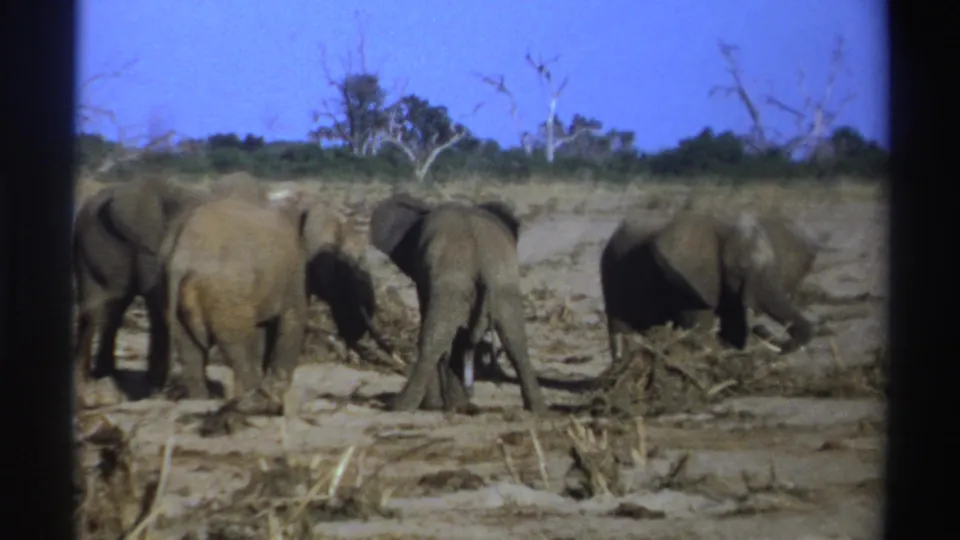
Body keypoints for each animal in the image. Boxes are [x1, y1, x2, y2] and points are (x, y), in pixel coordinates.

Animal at [72, 177, 209, 388]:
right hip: (89, 240)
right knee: (100, 307)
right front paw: (156, 385)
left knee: (109, 307)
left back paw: (101, 375)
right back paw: (90, 378)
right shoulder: (150, 245)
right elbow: (158, 301)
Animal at [369, 192, 547, 414]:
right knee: (515, 340)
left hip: (454, 281)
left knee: (434, 337)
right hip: (503, 283)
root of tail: (481, 260)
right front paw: (456, 404)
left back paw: (400, 405)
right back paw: (537, 409)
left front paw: (438, 404)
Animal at [600, 210, 822, 364]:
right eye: (740, 269)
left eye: (775, 266)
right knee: (620, 329)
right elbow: (701, 327)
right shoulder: (688, 283)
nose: (759, 327)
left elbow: (732, 326)